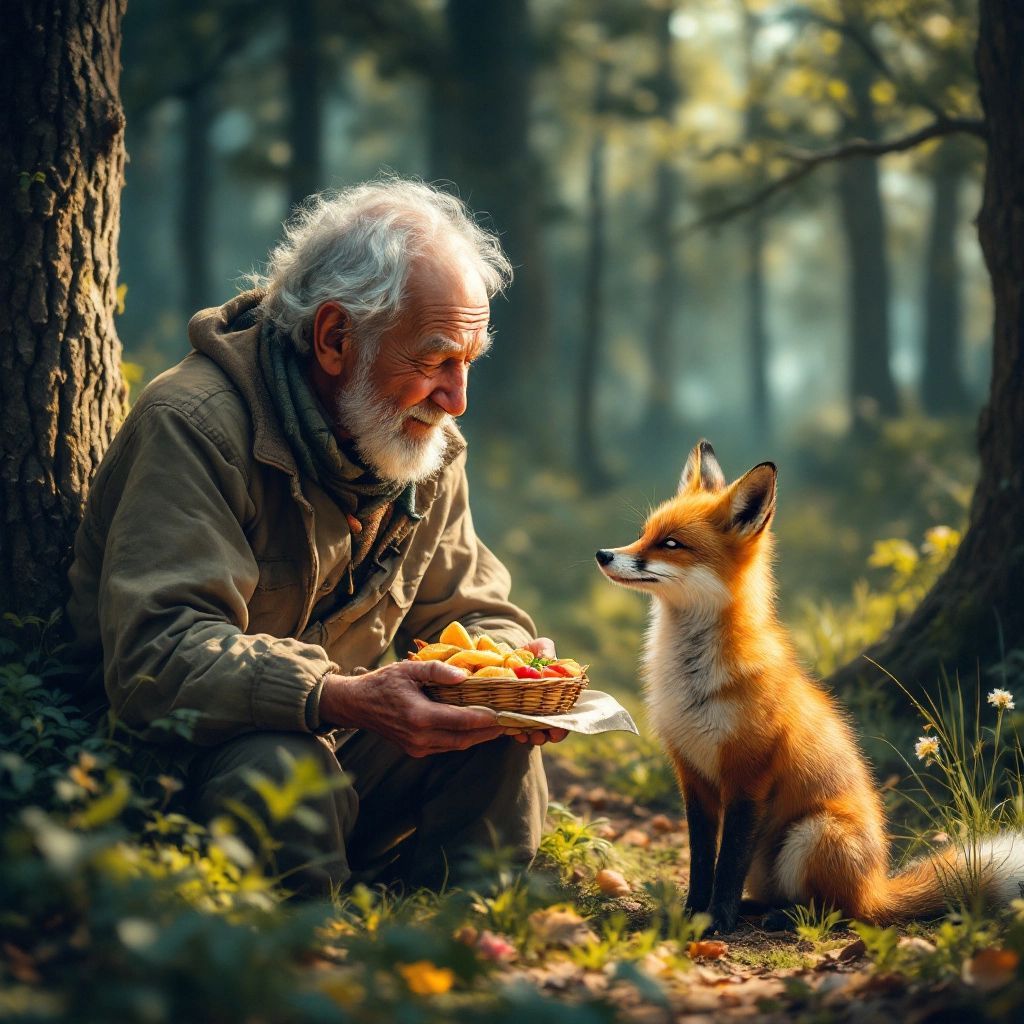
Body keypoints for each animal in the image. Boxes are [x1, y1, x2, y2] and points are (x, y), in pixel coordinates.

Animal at [595, 439, 1024, 934]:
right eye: (643, 533)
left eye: (671, 544)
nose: (603, 554)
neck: (692, 681)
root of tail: (877, 887)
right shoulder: (692, 774)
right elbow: (703, 861)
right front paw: (692, 915)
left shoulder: (749, 775)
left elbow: (727, 863)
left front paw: (717, 920)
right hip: (774, 857)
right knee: (781, 894)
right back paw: (757, 908)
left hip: (811, 834)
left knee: (839, 912)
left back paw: (785, 917)